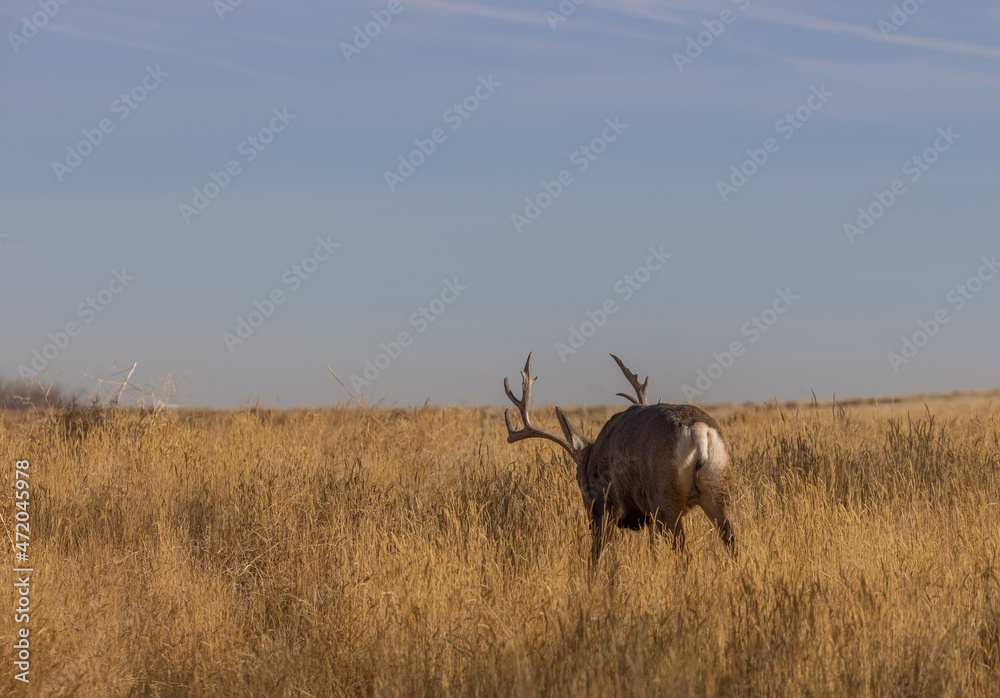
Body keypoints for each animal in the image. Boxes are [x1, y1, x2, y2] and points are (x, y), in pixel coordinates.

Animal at [503, 353, 735, 567]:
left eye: (579, 481)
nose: (587, 512)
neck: (591, 458)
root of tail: (698, 429)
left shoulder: (604, 506)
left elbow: (597, 555)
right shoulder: (649, 516)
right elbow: (654, 550)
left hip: (665, 496)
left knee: (684, 551)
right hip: (718, 489)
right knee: (732, 541)